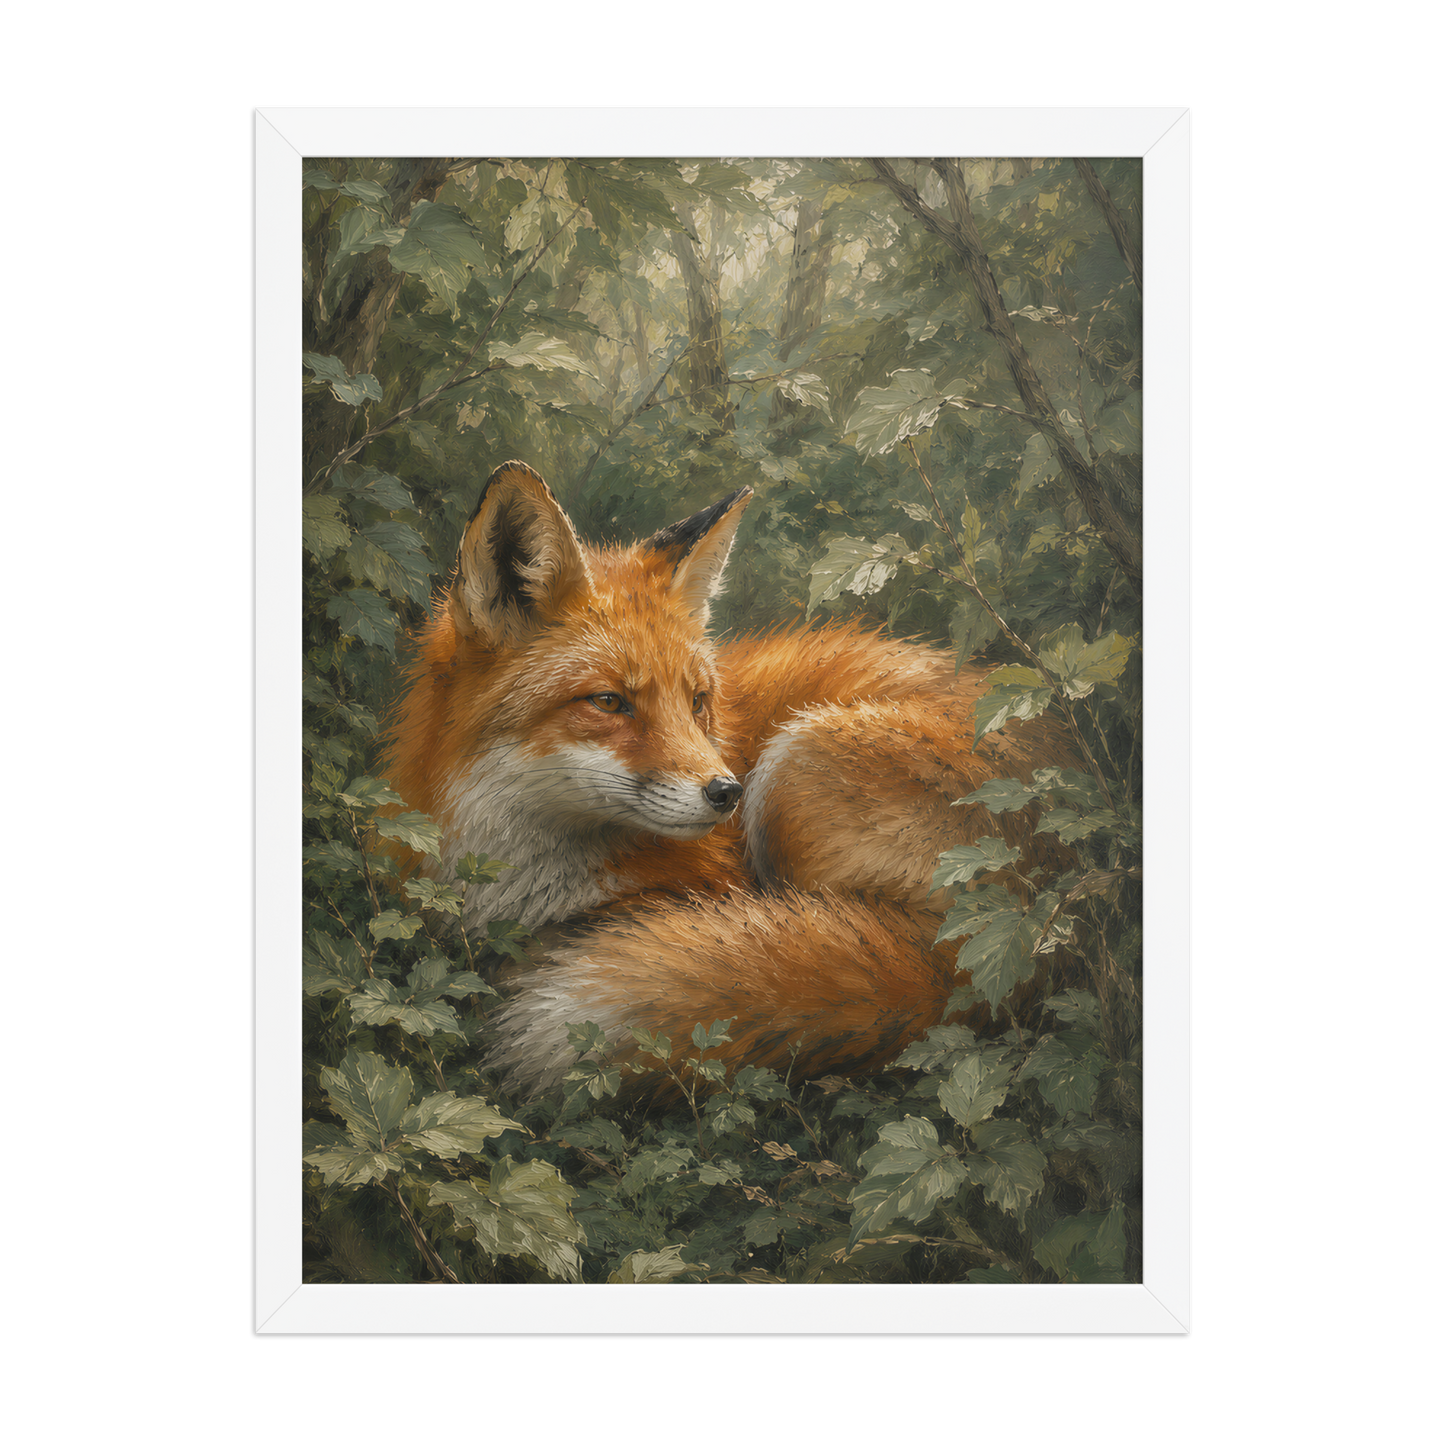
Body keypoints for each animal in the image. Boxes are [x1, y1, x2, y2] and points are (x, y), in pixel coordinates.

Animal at [379, 460, 1079, 1099]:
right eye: (609, 702)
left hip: (795, 766)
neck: (518, 875)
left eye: (697, 702)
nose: (726, 793)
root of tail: (1014, 941)